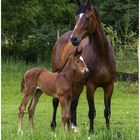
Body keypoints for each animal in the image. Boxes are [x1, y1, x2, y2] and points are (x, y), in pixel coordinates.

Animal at [50, 0, 115, 133]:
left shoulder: (109, 86)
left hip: (77, 84)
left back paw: (73, 126)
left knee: (73, 104)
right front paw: (91, 131)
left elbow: (107, 111)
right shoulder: (90, 86)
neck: (102, 56)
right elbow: (92, 111)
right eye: (76, 18)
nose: (74, 39)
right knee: (55, 102)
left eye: (87, 18)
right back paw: (53, 126)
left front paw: (108, 130)